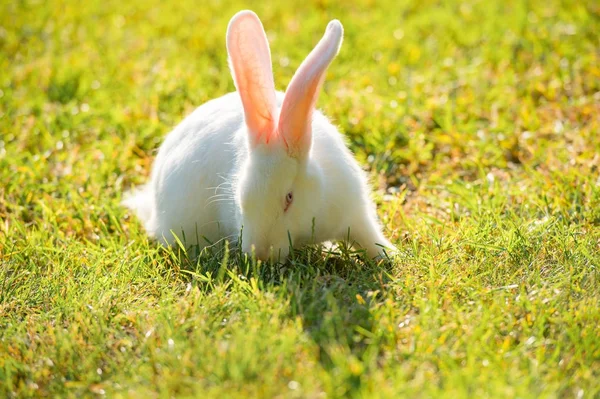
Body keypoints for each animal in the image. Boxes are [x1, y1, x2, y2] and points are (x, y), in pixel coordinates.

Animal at [122, 10, 396, 260]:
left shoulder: (355, 212)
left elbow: (370, 238)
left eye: (289, 198)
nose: (261, 253)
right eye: (240, 197)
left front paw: (390, 256)